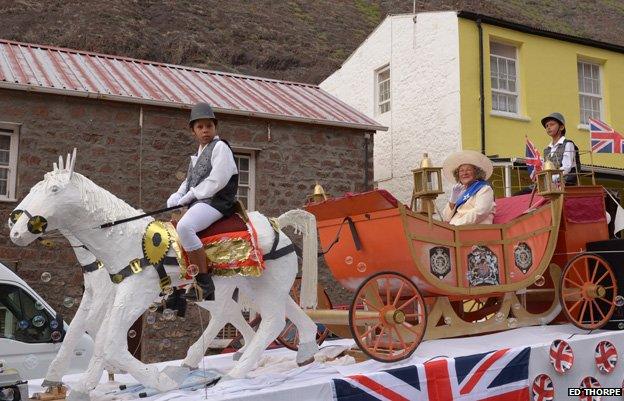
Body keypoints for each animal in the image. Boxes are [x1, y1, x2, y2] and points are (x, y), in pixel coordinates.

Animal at [8, 152, 322, 398]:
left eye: (55, 190)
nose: (16, 229)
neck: (123, 239)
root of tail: (276, 223)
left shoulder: (130, 296)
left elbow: (107, 341)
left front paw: (159, 382)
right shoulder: (109, 295)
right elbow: (90, 333)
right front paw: (78, 381)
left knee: (268, 319)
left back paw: (233, 372)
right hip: (261, 285)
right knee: (279, 312)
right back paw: (303, 348)